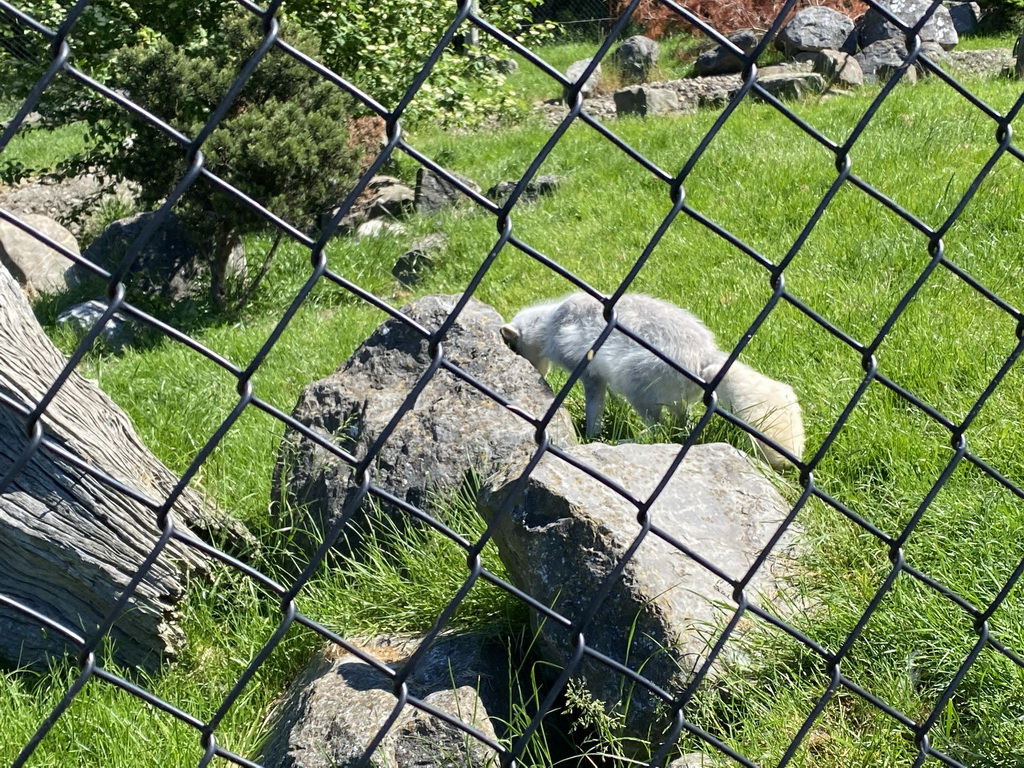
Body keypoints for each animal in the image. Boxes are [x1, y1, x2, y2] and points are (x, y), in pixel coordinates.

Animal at [499, 296, 802, 468]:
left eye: (513, 348)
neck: (550, 323)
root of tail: (704, 358)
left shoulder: (589, 376)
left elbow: (594, 407)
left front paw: (591, 436)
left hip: (635, 386)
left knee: (658, 430)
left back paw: (622, 442)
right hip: (673, 401)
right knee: (679, 427)